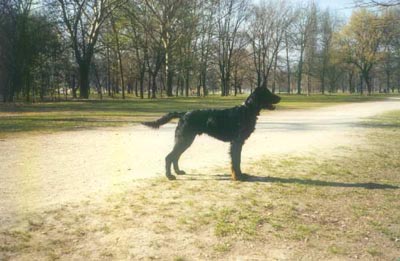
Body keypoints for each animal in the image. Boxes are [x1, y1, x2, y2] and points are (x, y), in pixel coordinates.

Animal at [142, 86, 280, 180]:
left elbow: (238, 160)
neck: (247, 111)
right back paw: (169, 176)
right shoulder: (236, 142)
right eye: (267, 93)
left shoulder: (238, 143)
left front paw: (240, 175)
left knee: (175, 156)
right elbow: (236, 161)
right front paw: (238, 177)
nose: (279, 97)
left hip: (185, 140)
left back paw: (178, 172)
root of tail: (183, 114)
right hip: (184, 139)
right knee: (169, 157)